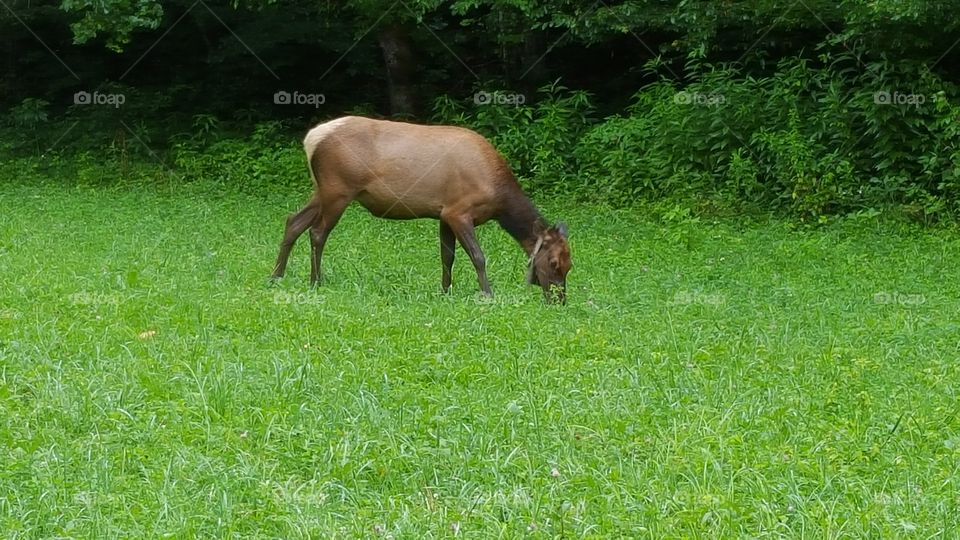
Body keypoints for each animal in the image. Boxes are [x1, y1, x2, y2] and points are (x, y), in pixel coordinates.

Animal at [270, 115, 568, 304]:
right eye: (554, 263)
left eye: (570, 264)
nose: (559, 300)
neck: (499, 199)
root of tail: (310, 139)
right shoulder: (459, 211)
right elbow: (478, 256)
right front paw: (487, 295)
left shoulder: (444, 214)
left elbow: (447, 257)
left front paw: (445, 292)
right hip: (338, 189)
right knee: (317, 231)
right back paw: (315, 281)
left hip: (323, 190)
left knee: (293, 221)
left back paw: (276, 276)